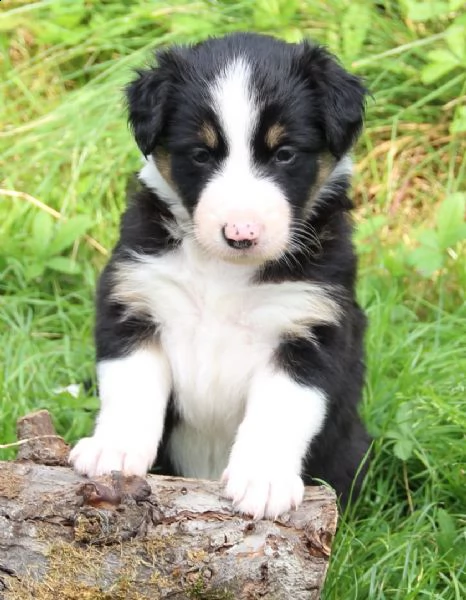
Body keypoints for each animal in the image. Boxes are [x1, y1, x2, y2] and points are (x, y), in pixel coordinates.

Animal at [70, 32, 372, 516]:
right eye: (201, 154)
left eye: (285, 154)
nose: (241, 234)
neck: (224, 272)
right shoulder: (136, 301)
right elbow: (129, 385)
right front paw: (112, 451)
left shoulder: (311, 329)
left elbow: (281, 409)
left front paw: (263, 481)